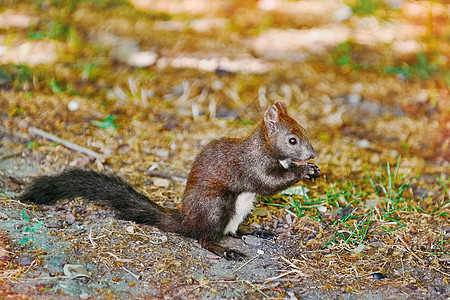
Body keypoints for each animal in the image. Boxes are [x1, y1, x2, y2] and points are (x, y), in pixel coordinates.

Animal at [18, 101, 320, 260]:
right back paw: (225, 250)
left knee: (231, 231)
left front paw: (312, 169)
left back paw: (255, 232)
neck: (265, 149)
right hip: (216, 203)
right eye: (292, 140)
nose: (312, 154)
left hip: (239, 209)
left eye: (305, 132)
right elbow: (268, 184)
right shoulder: (250, 166)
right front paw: (302, 171)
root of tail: (186, 220)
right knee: (204, 237)